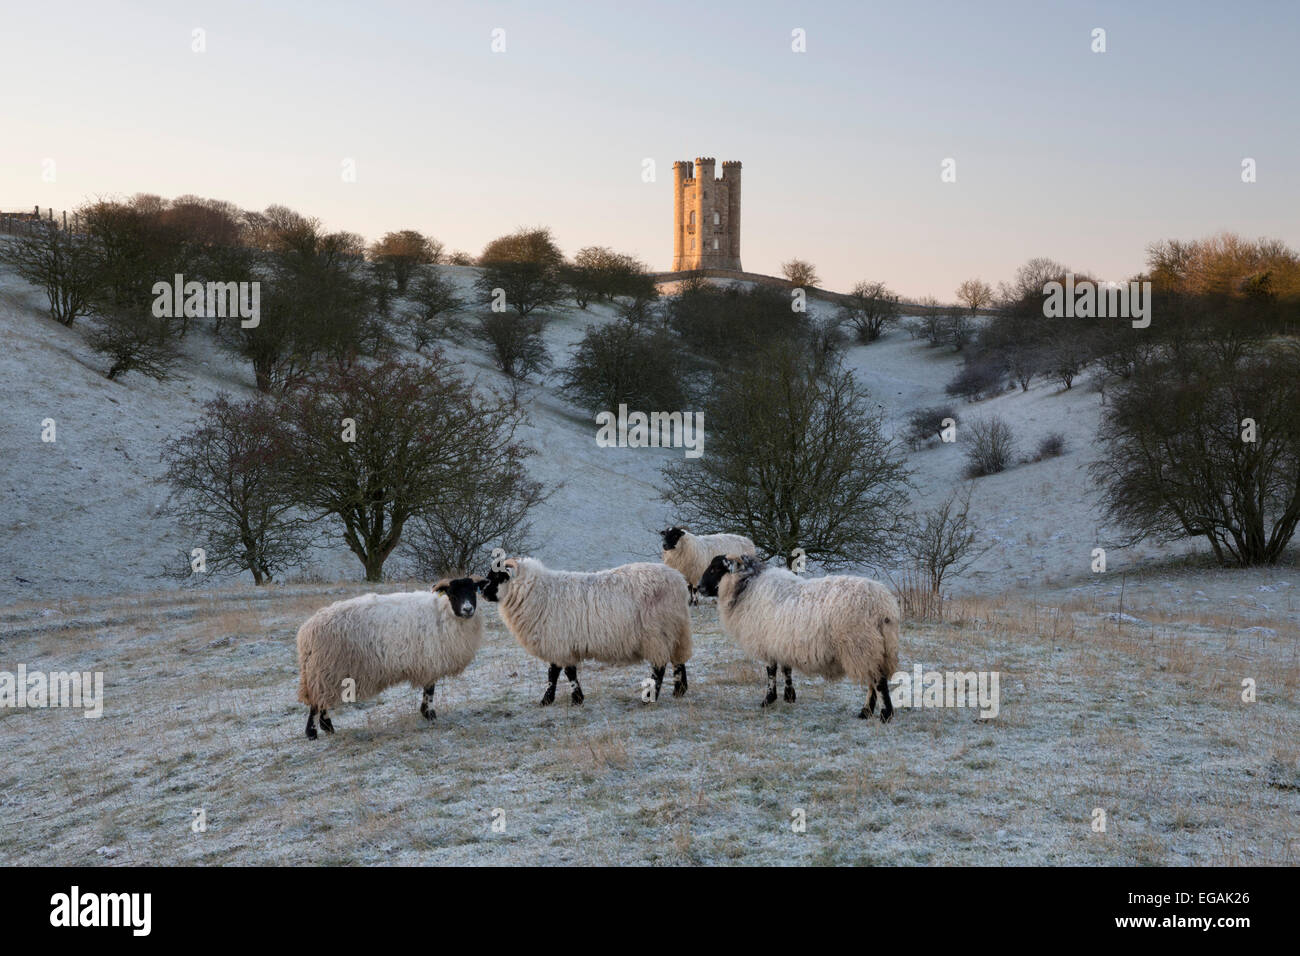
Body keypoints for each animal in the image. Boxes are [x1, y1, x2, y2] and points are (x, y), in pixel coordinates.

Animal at [296, 576, 486, 739]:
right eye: (452, 593)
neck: (444, 613)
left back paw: (328, 727)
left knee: (322, 701)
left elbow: (428, 689)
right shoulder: (430, 659)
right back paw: (312, 733)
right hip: (325, 669)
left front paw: (426, 713)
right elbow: (430, 690)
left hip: (326, 672)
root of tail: (306, 631)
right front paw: (430, 715)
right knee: (316, 702)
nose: (468, 609)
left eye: (473, 591)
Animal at [479, 557, 692, 705]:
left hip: (656, 633)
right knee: (678, 661)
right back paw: (679, 691)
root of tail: (679, 582)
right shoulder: (559, 643)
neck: (536, 593)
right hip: (676, 630)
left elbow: (563, 672)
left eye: (496, 576)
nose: (481, 593)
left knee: (659, 667)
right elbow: (557, 672)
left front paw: (570, 699)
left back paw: (649, 697)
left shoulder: (560, 641)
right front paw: (554, 699)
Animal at [697, 554, 900, 722]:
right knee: (872, 681)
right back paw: (866, 712)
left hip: (861, 645)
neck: (747, 587)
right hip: (875, 647)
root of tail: (882, 605)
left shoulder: (767, 642)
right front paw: (789, 696)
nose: (698, 587)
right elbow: (786, 669)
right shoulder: (782, 642)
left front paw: (768, 699)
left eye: (715, 569)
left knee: (878, 681)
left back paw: (884, 714)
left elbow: (771, 671)